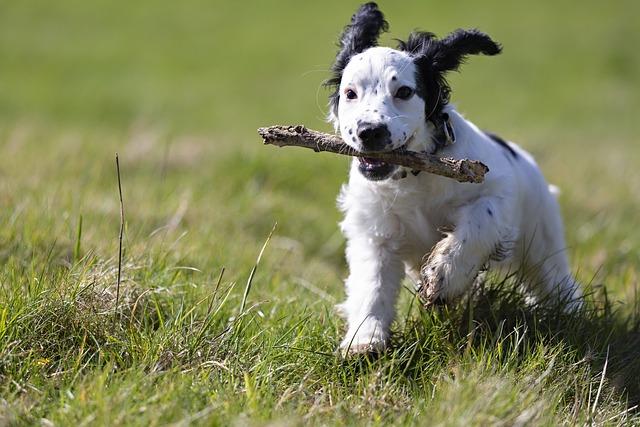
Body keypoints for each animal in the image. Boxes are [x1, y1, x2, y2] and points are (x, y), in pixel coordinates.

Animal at [328, 3, 584, 356]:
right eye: (350, 93)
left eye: (404, 91)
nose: (370, 132)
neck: (414, 175)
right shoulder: (373, 231)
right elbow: (373, 283)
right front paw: (364, 341)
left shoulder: (496, 193)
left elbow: (477, 224)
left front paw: (444, 278)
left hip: (542, 242)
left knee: (555, 282)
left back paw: (574, 317)